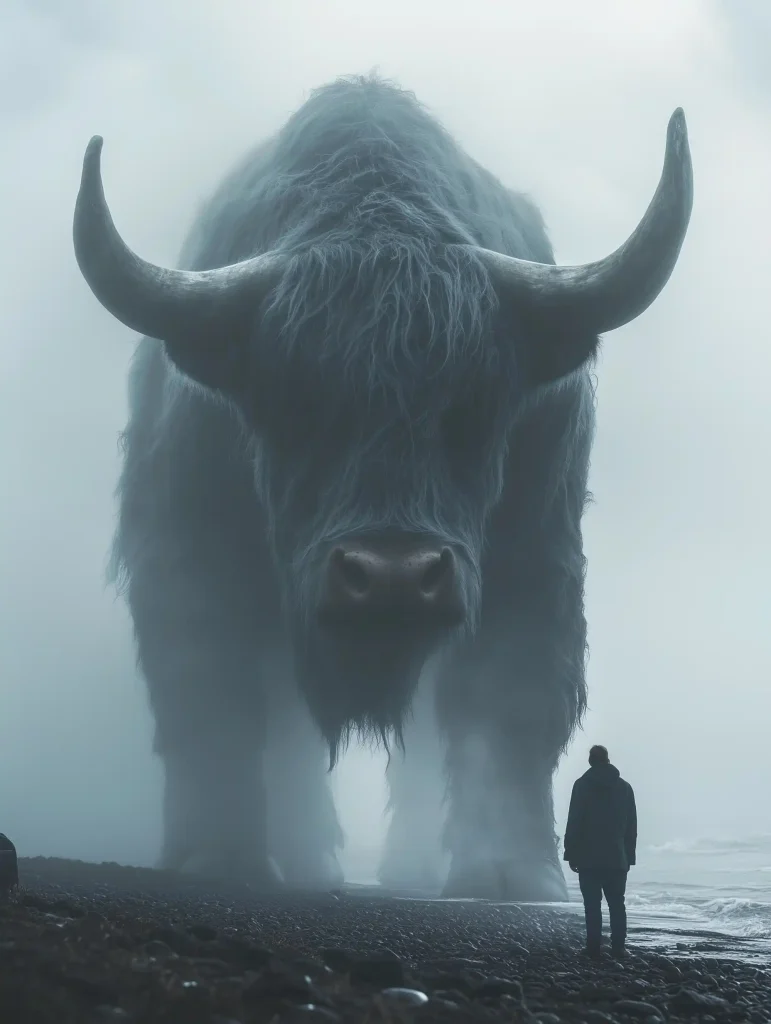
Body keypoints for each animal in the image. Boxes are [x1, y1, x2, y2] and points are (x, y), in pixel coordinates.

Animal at [73, 77, 692, 897]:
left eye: (473, 408)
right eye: (293, 405)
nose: (392, 576)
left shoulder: (535, 558)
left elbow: (512, 699)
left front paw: (513, 874)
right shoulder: (186, 555)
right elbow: (210, 697)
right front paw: (218, 860)